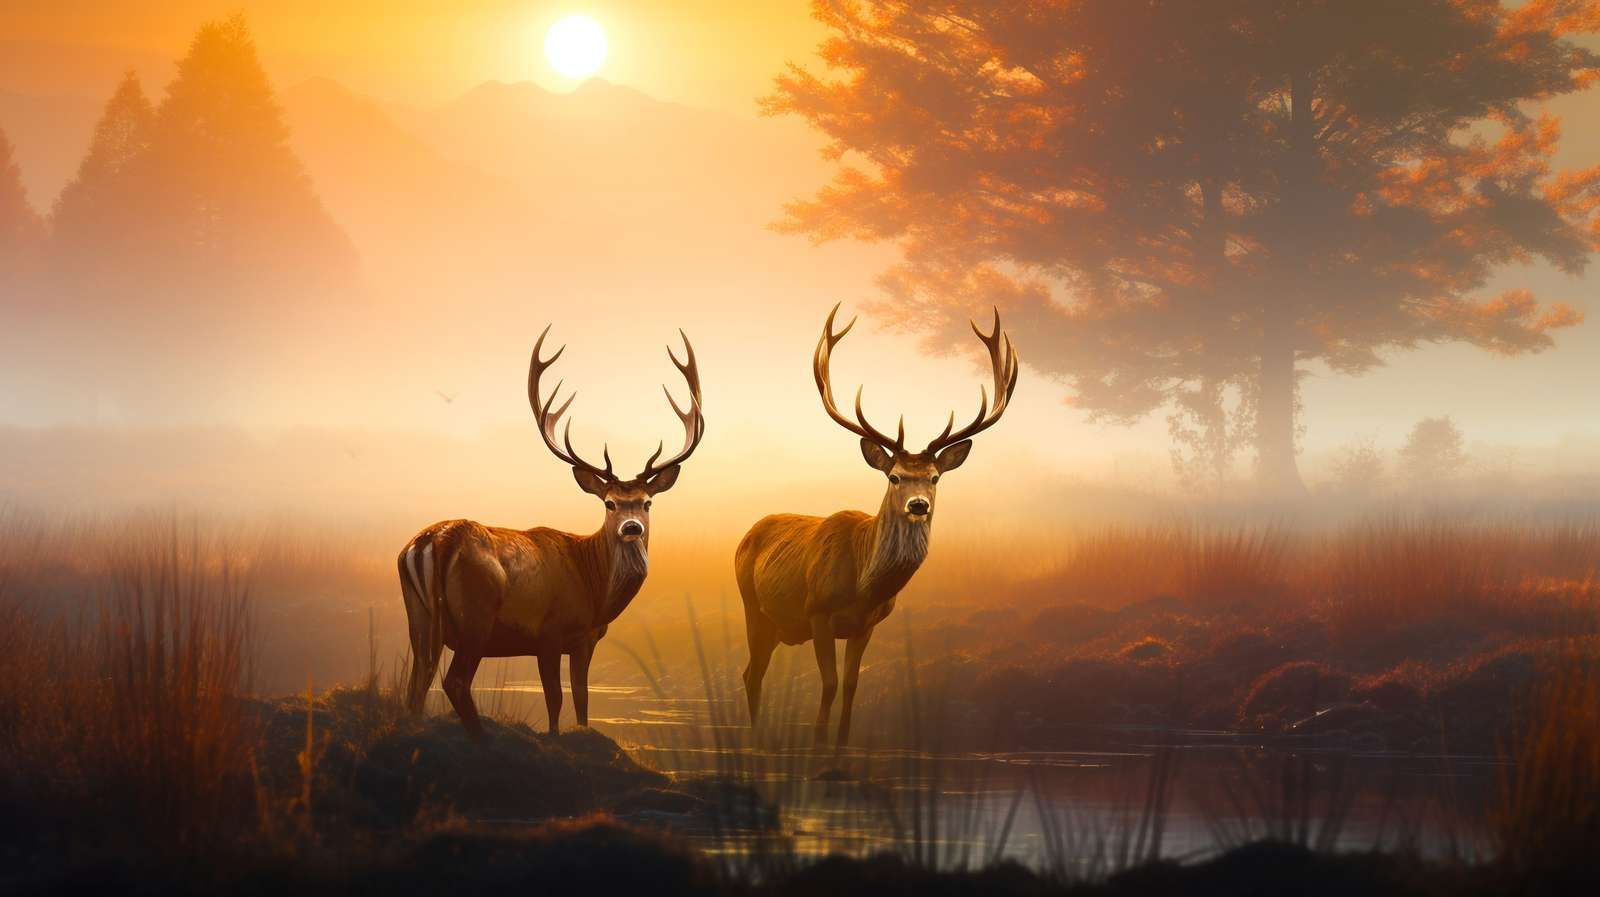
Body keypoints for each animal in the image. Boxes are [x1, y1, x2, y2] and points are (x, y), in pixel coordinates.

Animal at [398, 325, 704, 739]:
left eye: (647, 502)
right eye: (609, 503)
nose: (631, 527)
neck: (595, 591)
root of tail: (437, 541)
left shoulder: (582, 638)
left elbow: (582, 701)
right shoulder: (553, 631)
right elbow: (560, 701)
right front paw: (557, 737)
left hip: (419, 614)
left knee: (418, 683)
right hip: (477, 612)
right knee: (455, 680)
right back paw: (482, 739)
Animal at [735, 305, 1018, 748]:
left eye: (935, 477)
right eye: (895, 476)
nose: (918, 505)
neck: (863, 586)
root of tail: (747, 534)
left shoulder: (867, 625)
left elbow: (851, 686)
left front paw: (840, 746)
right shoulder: (817, 611)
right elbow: (829, 684)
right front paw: (818, 745)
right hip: (752, 605)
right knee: (751, 673)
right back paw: (756, 740)